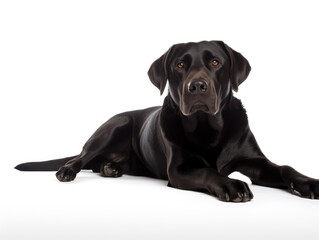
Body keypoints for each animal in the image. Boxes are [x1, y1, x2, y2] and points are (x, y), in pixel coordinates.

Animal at [16, 41, 319, 202]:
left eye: (216, 63)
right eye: (180, 65)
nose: (197, 86)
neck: (209, 128)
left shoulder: (255, 161)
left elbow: (285, 168)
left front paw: (308, 183)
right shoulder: (179, 169)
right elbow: (209, 172)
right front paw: (231, 184)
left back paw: (111, 168)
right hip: (114, 126)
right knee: (81, 156)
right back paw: (69, 169)